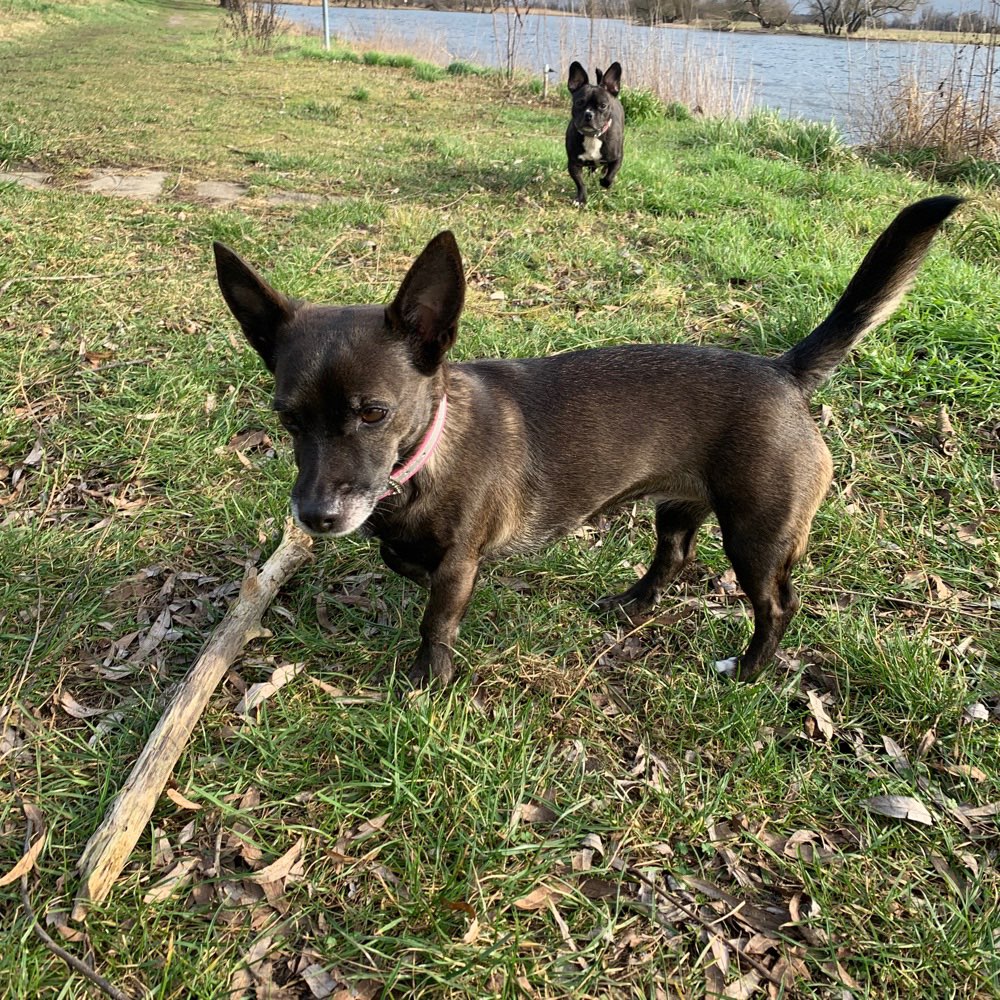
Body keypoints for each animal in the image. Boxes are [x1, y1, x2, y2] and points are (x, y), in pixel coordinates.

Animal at [217, 199, 960, 692]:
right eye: (286, 419)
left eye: (374, 413)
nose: (316, 517)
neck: (423, 457)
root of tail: (783, 371)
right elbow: (401, 560)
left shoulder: (459, 563)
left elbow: (437, 619)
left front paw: (429, 680)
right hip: (679, 507)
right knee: (674, 557)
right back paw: (632, 603)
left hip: (757, 536)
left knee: (777, 606)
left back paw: (748, 669)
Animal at [568, 60, 620, 205]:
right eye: (579, 103)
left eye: (603, 105)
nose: (588, 114)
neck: (593, 136)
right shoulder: (573, 163)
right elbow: (580, 182)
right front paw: (581, 199)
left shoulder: (617, 159)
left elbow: (609, 176)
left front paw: (605, 183)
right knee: (592, 169)